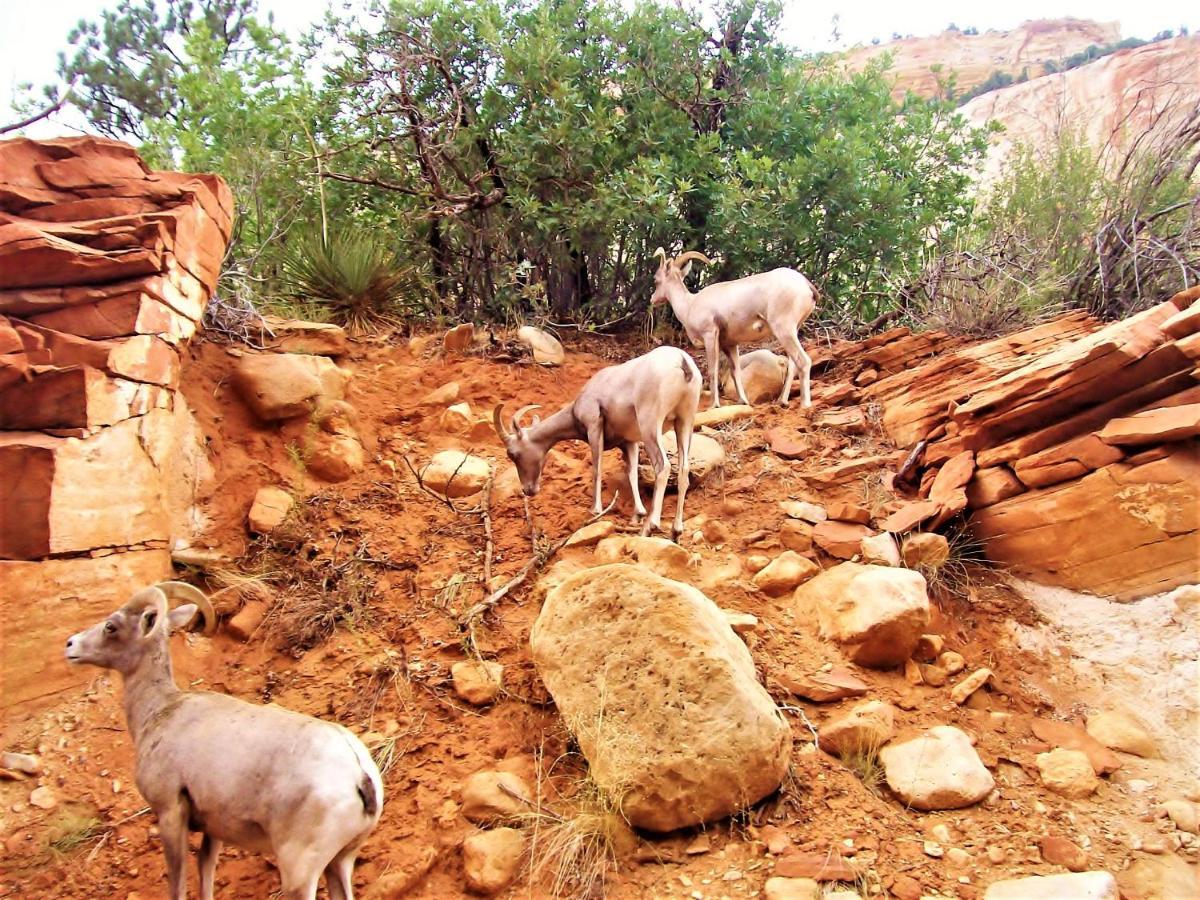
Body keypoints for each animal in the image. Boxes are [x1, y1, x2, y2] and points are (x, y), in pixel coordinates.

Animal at [64, 585, 379, 900]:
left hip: (299, 873)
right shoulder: (214, 828)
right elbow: (206, 869)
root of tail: (358, 774)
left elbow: (178, 883)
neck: (159, 710)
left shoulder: (170, 813)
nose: (70, 645)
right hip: (340, 861)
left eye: (111, 626)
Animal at [494, 348, 700, 540]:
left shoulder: (594, 428)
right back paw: (675, 531)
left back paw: (649, 527)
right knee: (683, 469)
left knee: (663, 466)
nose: (528, 490)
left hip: (651, 425)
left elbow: (596, 468)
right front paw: (637, 514)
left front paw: (595, 511)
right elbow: (632, 473)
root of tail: (682, 362)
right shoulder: (629, 443)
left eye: (513, 453)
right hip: (684, 422)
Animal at [652, 250, 820, 412]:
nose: (652, 299)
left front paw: (714, 405)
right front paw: (743, 401)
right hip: (793, 331)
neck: (689, 305)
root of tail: (806, 285)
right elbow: (735, 372)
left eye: (656, 280)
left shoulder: (710, 336)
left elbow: (712, 370)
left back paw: (805, 405)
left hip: (784, 330)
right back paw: (782, 401)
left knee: (803, 361)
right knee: (793, 365)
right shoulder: (730, 345)